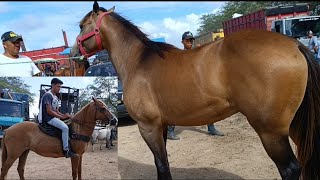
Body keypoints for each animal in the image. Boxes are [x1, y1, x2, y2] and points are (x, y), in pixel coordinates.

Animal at [70, 1, 320, 180]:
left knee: (289, 168)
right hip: (294, 125)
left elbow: (161, 165)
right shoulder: (161, 126)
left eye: (82, 25)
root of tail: (294, 44)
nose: (73, 53)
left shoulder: (148, 127)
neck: (139, 62)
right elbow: (163, 164)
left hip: (270, 131)